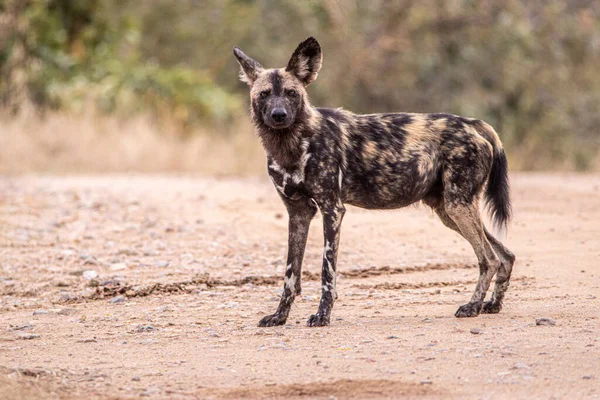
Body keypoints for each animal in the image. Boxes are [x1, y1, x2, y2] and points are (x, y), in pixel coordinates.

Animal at [234, 37, 516, 326]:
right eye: (265, 94)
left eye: (291, 93)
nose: (279, 115)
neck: (291, 145)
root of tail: (473, 123)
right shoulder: (299, 212)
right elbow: (291, 274)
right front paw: (280, 316)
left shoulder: (332, 210)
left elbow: (327, 272)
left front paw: (322, 315)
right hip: (449, 211)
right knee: (505, 255)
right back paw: (492, 304)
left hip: (458, 206)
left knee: (489, 259)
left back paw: (472, 306)